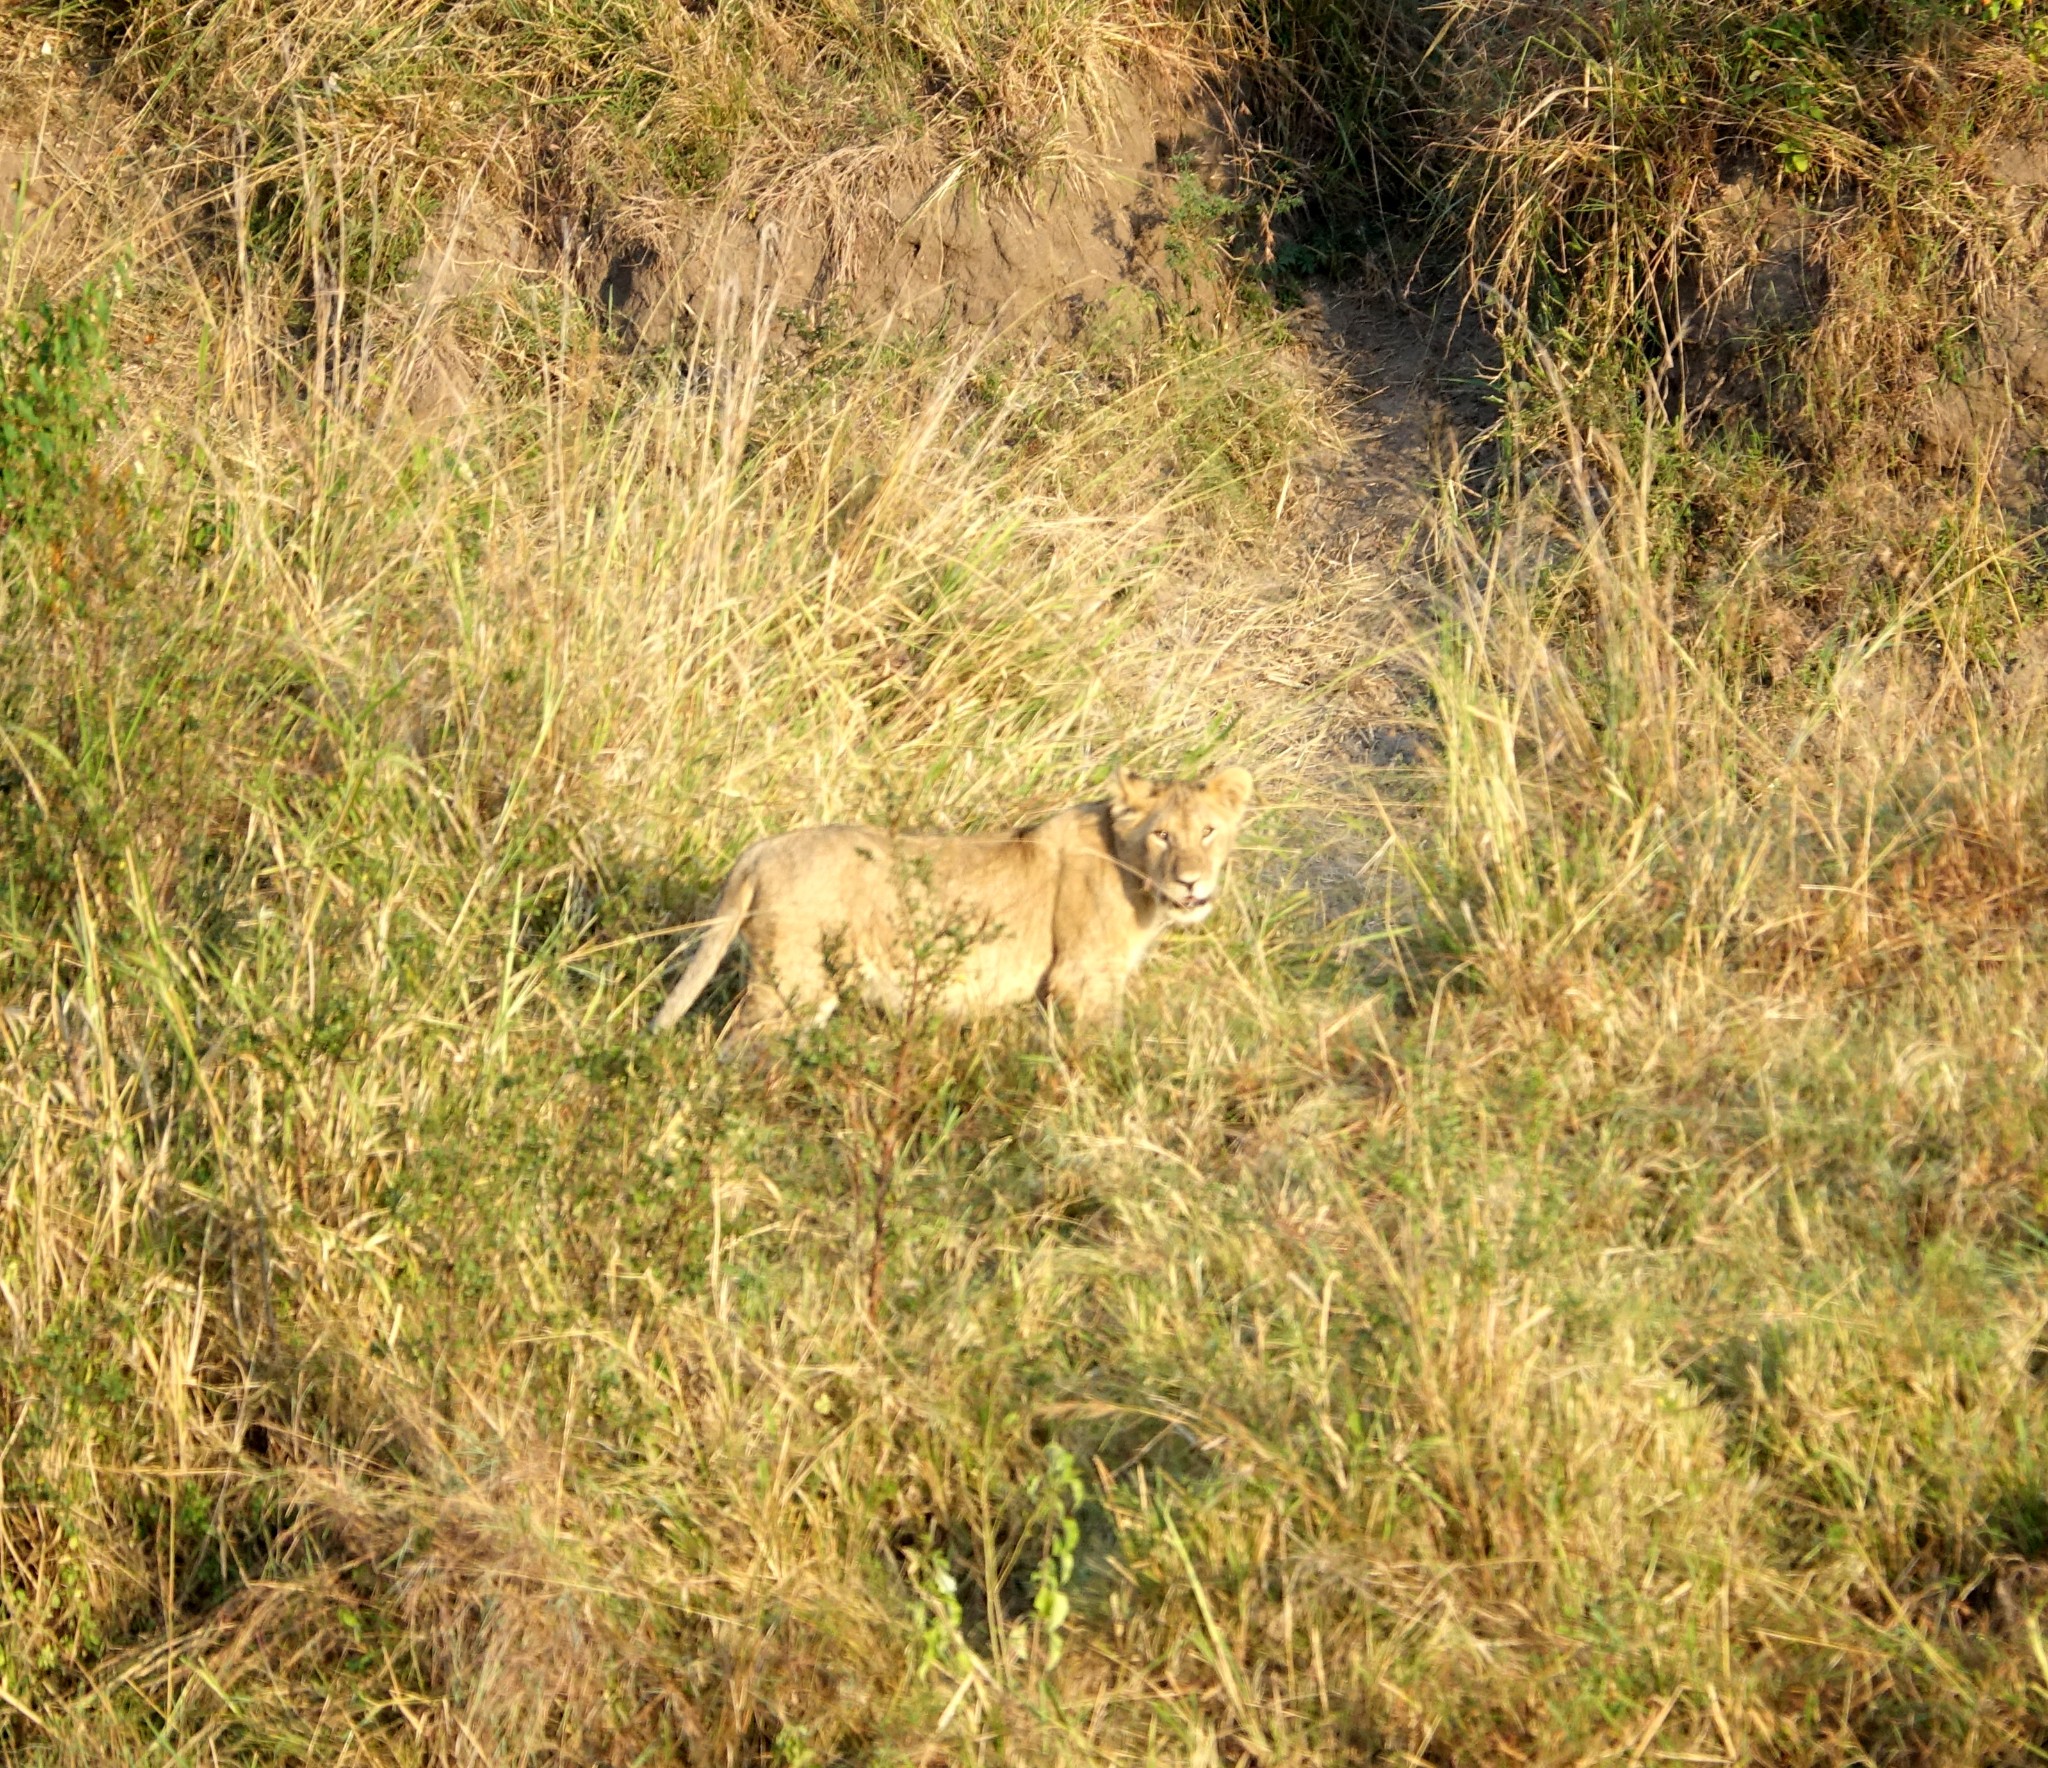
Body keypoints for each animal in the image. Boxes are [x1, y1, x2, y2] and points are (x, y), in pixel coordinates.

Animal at [655, 766, 1253, 1044]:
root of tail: (760, 850)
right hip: (793, 984)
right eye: (1162, 836)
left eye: (1208, 831)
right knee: (738, 1045)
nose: (1192, 884)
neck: (1138, 883)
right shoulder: (1085, 978)